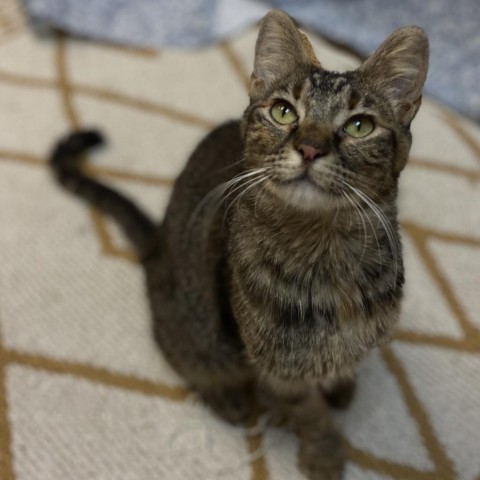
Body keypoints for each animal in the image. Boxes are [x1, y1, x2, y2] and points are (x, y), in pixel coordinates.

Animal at [49, 8, 428, 480]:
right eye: (284, 112)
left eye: (360, 125)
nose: (310, 148)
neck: (324, 253)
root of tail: (158, 250)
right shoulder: (273, 366)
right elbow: (309, 411)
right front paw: (323, 453)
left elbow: (342, 370)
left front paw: (341, 385)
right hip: (200, 334)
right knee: (183, 354)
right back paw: (227, 398)